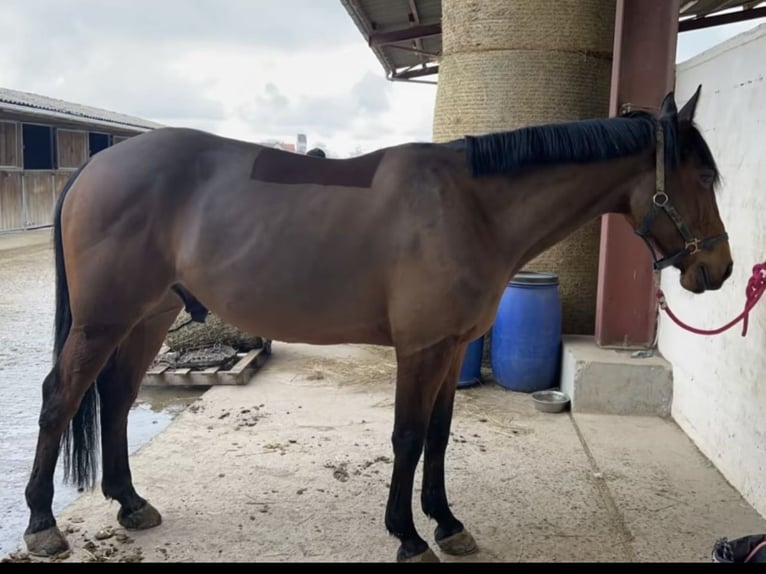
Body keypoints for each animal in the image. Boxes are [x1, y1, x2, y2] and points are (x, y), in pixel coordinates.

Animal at [22, 88, 732, 564]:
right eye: (702, 175)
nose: (719, 269)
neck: (472, 206)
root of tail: (95, 166)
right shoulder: (420, 349)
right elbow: (408, 436)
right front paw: (408, 536)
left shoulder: (451, 348)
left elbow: (439, 437)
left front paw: (447, 523)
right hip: (104, 319)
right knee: (61, 398)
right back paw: (42, 524)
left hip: (151, 313)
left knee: (115, 397)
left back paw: (130, 502)